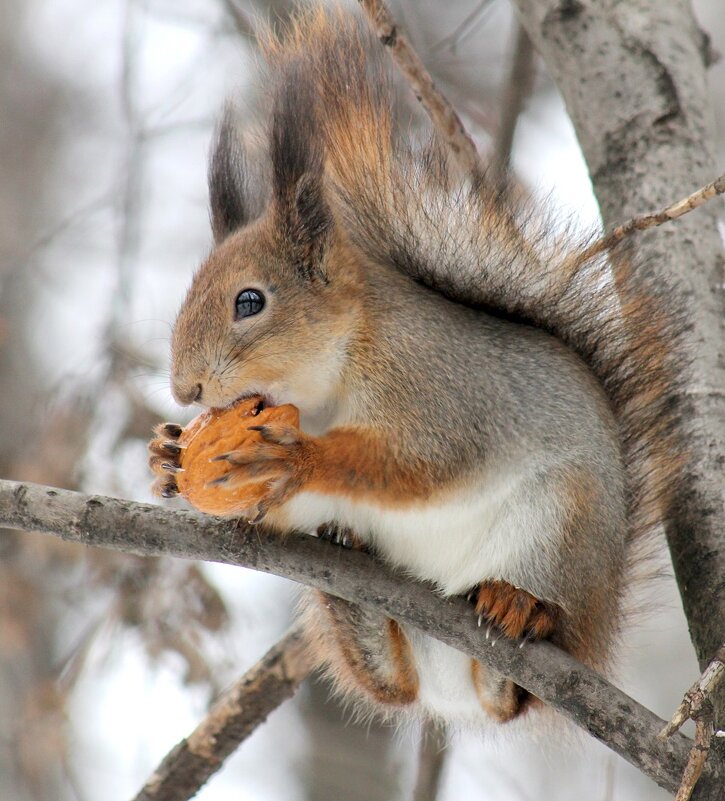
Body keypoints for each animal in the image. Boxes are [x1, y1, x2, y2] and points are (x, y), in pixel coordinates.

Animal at [148, 4, 684, 724]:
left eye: (250, 301)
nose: (186, 389)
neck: (325, 386)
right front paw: (167, 454)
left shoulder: (435, 385)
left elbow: (421, 462)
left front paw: (296, 456)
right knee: (392, 683)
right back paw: (349, 576)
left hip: (561, 528)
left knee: (513, 685)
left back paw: (520, 609)